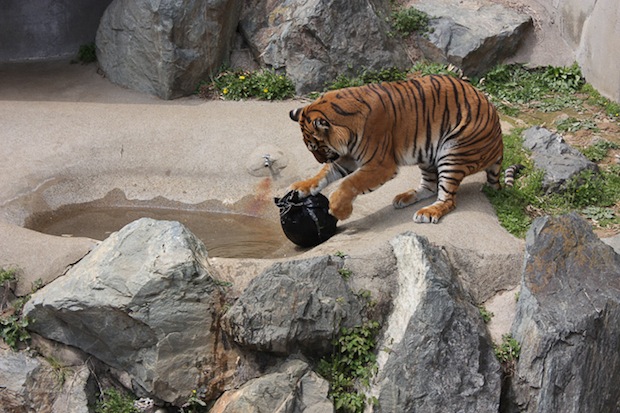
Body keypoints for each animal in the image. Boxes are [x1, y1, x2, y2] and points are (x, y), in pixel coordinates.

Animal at [288, 73, 506, 222]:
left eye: (317, 147)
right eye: (311, 148)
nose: (321, 159)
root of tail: (499, 145)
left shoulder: (380, 164)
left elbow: (349, 182)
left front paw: (339, 210)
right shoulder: (349, 157)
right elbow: (325, 174)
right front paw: (302, 187)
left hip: (453, 152)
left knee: (448, 199)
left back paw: (428, 212)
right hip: (428, 154)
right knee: (430, 186)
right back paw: (405, 198)